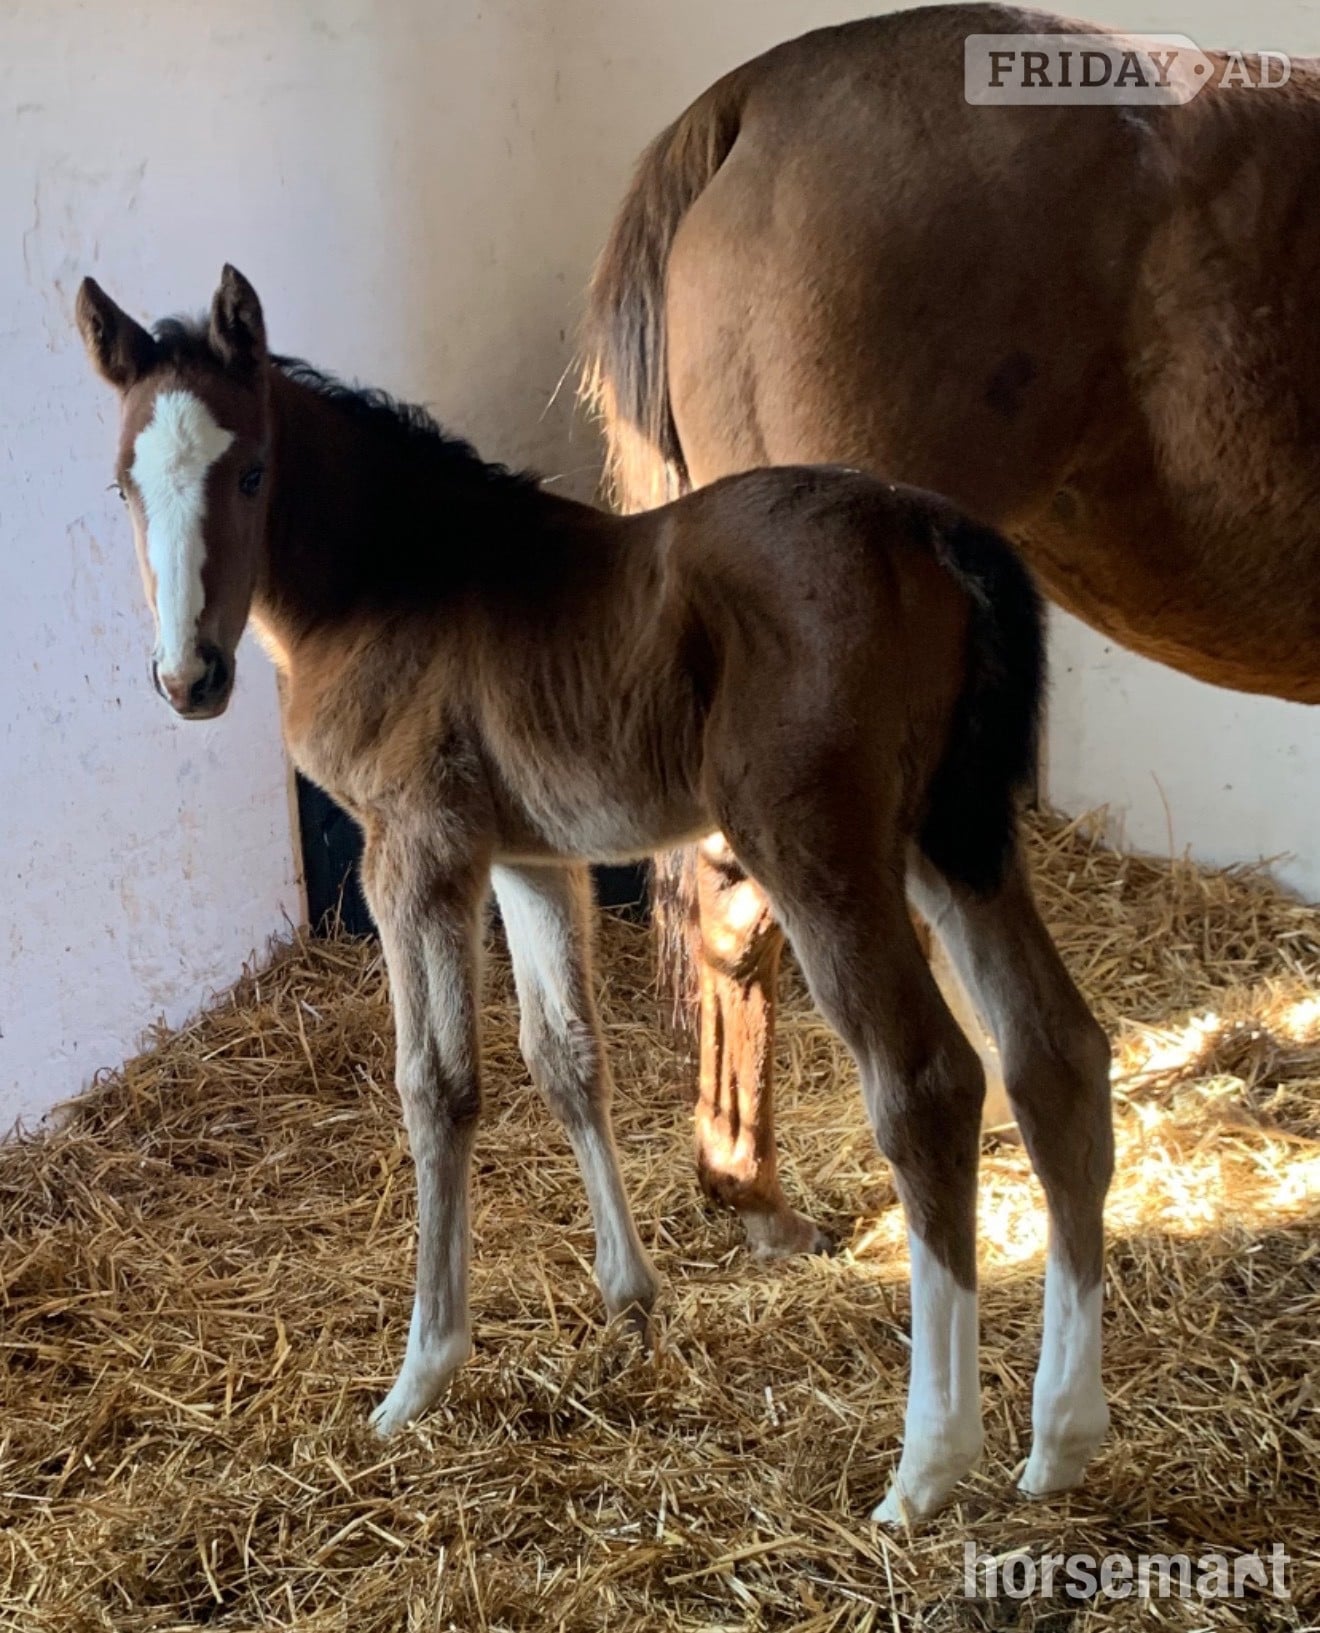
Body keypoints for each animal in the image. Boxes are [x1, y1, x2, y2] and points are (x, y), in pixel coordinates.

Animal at [77, 265, 1110, 1521]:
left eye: (252, 470)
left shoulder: (415, 852)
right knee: (1055, 1052)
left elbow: (440, 1087)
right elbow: (567, 1055)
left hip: (820, 846)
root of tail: (933, 526)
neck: (397, 575)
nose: (191, 678)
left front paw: (421, 1374)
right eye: (126, 482)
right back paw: (1062, 1438)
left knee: (931, 1083)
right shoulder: (532, 857)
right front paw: (629, 1291)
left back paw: (928, 1463)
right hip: (953, 837)